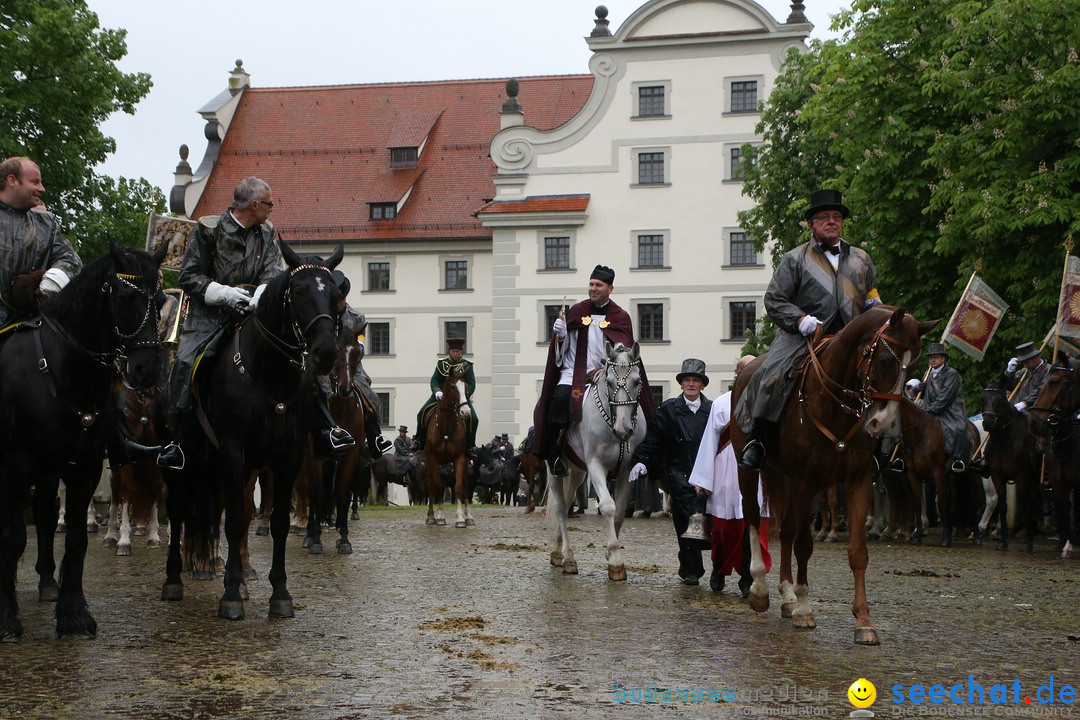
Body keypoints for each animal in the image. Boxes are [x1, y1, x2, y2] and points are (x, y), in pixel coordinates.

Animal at [0, 243, 166, 643]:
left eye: (160, 300)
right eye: (124, 296)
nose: (147, 371)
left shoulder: (84, 468)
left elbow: (76, 538)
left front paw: (73, 615)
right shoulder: (17, 468)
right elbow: (13, 537)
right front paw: (7, 618)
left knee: (46, 517)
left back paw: (48, 582)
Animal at [160, 243, 341, 621]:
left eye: (336, 295)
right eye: (299, 292)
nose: (325, 354)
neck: (269, 375)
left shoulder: (287, 458)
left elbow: (277, 523)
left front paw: (280, 594)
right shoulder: (232, 450)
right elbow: (234, 521)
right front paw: (230, 596)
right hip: (183, 463)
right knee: (178, 511)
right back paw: (174, 579)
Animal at [421, 369, 473, 526]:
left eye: (466, 388)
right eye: (452, 387)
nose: (465, 412)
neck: (445, 428)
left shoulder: (460, 458)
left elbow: (459, 487)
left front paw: (460, 518)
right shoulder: (432, 459)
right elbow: (436, 485)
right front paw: (437, 517)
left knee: (465, 485)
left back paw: (469, 517)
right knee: (434, 485)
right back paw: (435, 515)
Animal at [548, 341, 639, 582]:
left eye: (637, 381)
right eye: (609, 382)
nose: (623, 430)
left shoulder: (625, 470)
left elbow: (619, 512)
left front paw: (610, 552)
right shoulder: (596, 465)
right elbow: (607, 506)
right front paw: (615, 561)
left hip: (577, 472)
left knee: (568, 503)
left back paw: (557, 551)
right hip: (554, 473)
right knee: (560, 508)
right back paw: (568, 558)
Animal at [734, 306, 937, 647]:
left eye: (914, 364)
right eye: (885, 359)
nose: (882, 424)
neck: (834, 404)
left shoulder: (857, 481)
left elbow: (857, 553)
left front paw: (864, 621)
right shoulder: (806, 482)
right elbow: (804, 544)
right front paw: (804, 609)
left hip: (785, 479)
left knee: (785, 531)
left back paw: (786, 595)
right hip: (749, 472)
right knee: (751, 518)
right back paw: (760, 590)